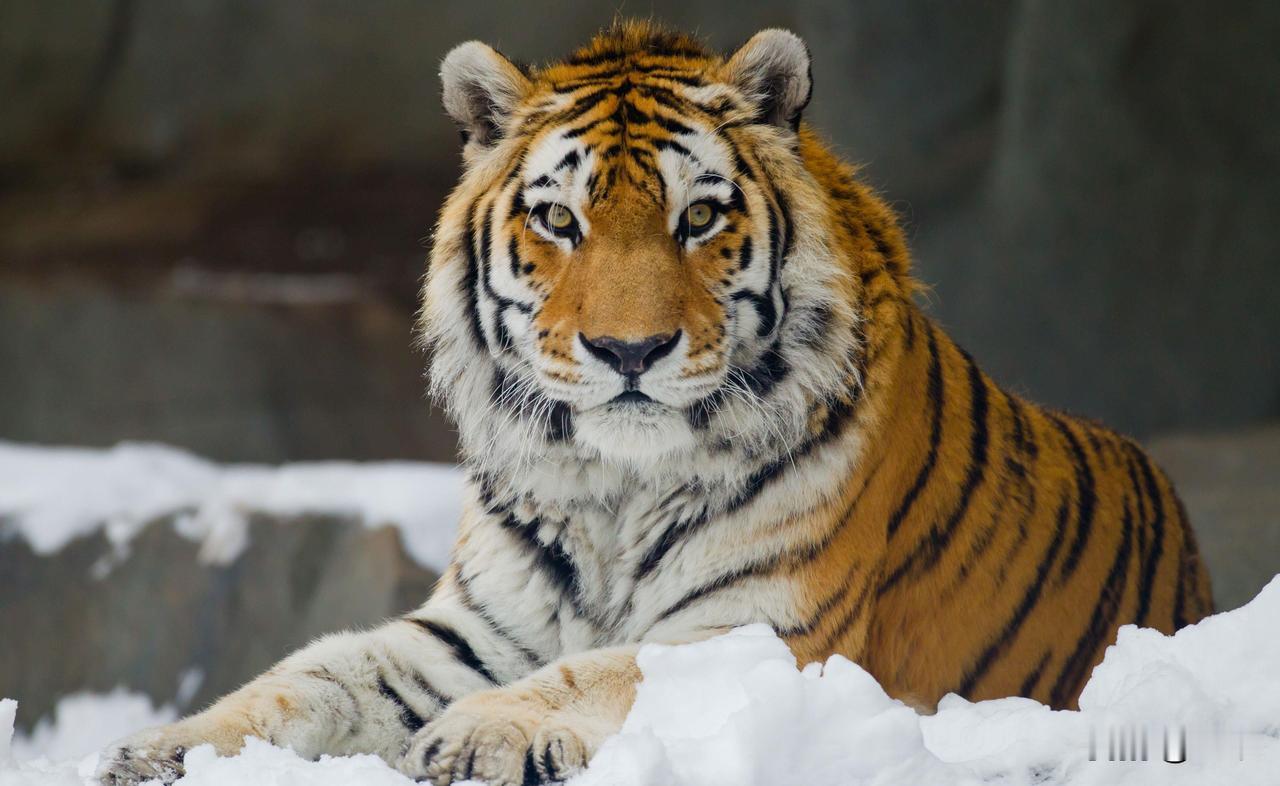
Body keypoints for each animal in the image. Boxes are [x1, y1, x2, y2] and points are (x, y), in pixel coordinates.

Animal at [98, 21, 1213, 786]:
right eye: (558, 219)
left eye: (700, 217)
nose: (628, 350)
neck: (613, 486)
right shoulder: (473, 630)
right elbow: (312, 673)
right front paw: (158, 750)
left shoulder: (764, 633)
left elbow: (599, 669)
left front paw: (474, 734)